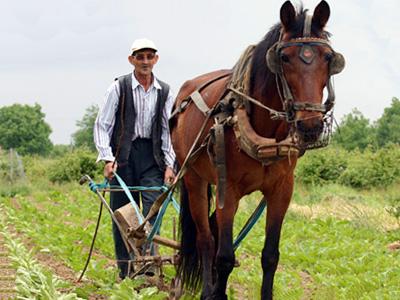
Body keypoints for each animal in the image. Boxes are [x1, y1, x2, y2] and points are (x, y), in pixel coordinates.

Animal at [171, 1, 344, 298]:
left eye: (328, 58)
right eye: (284, 58)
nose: (310, 126)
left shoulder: (282, 191)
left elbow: (270, 256)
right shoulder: (228, 190)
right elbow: (224, 256)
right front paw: (216, 292)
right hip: (194, 178)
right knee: (206, 239)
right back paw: (207, 289)